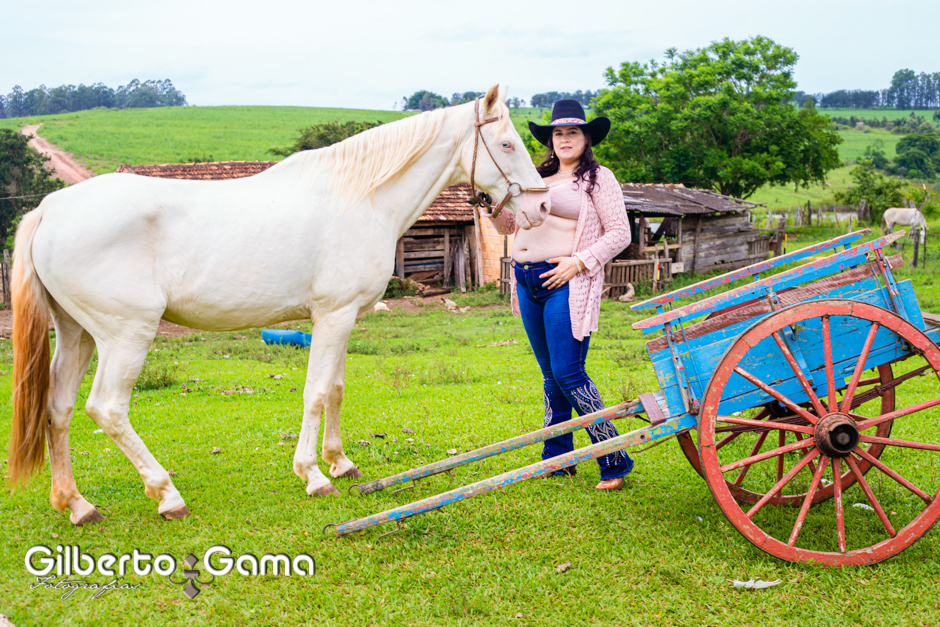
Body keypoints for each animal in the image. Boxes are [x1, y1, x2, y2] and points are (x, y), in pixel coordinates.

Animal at [8, 84, 550, 526]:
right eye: (506, 144)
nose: (542, 206)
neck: (361, 199)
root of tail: (50, 209)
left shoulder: (341, 319)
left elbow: (335, 389)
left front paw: (341, 462)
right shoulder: (332, 315)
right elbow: (315, 393)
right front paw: (314, 475)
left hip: (76, 335)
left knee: (58, 410)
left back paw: (77, 505)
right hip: (125, 337)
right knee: (107, 409)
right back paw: (166, 495)